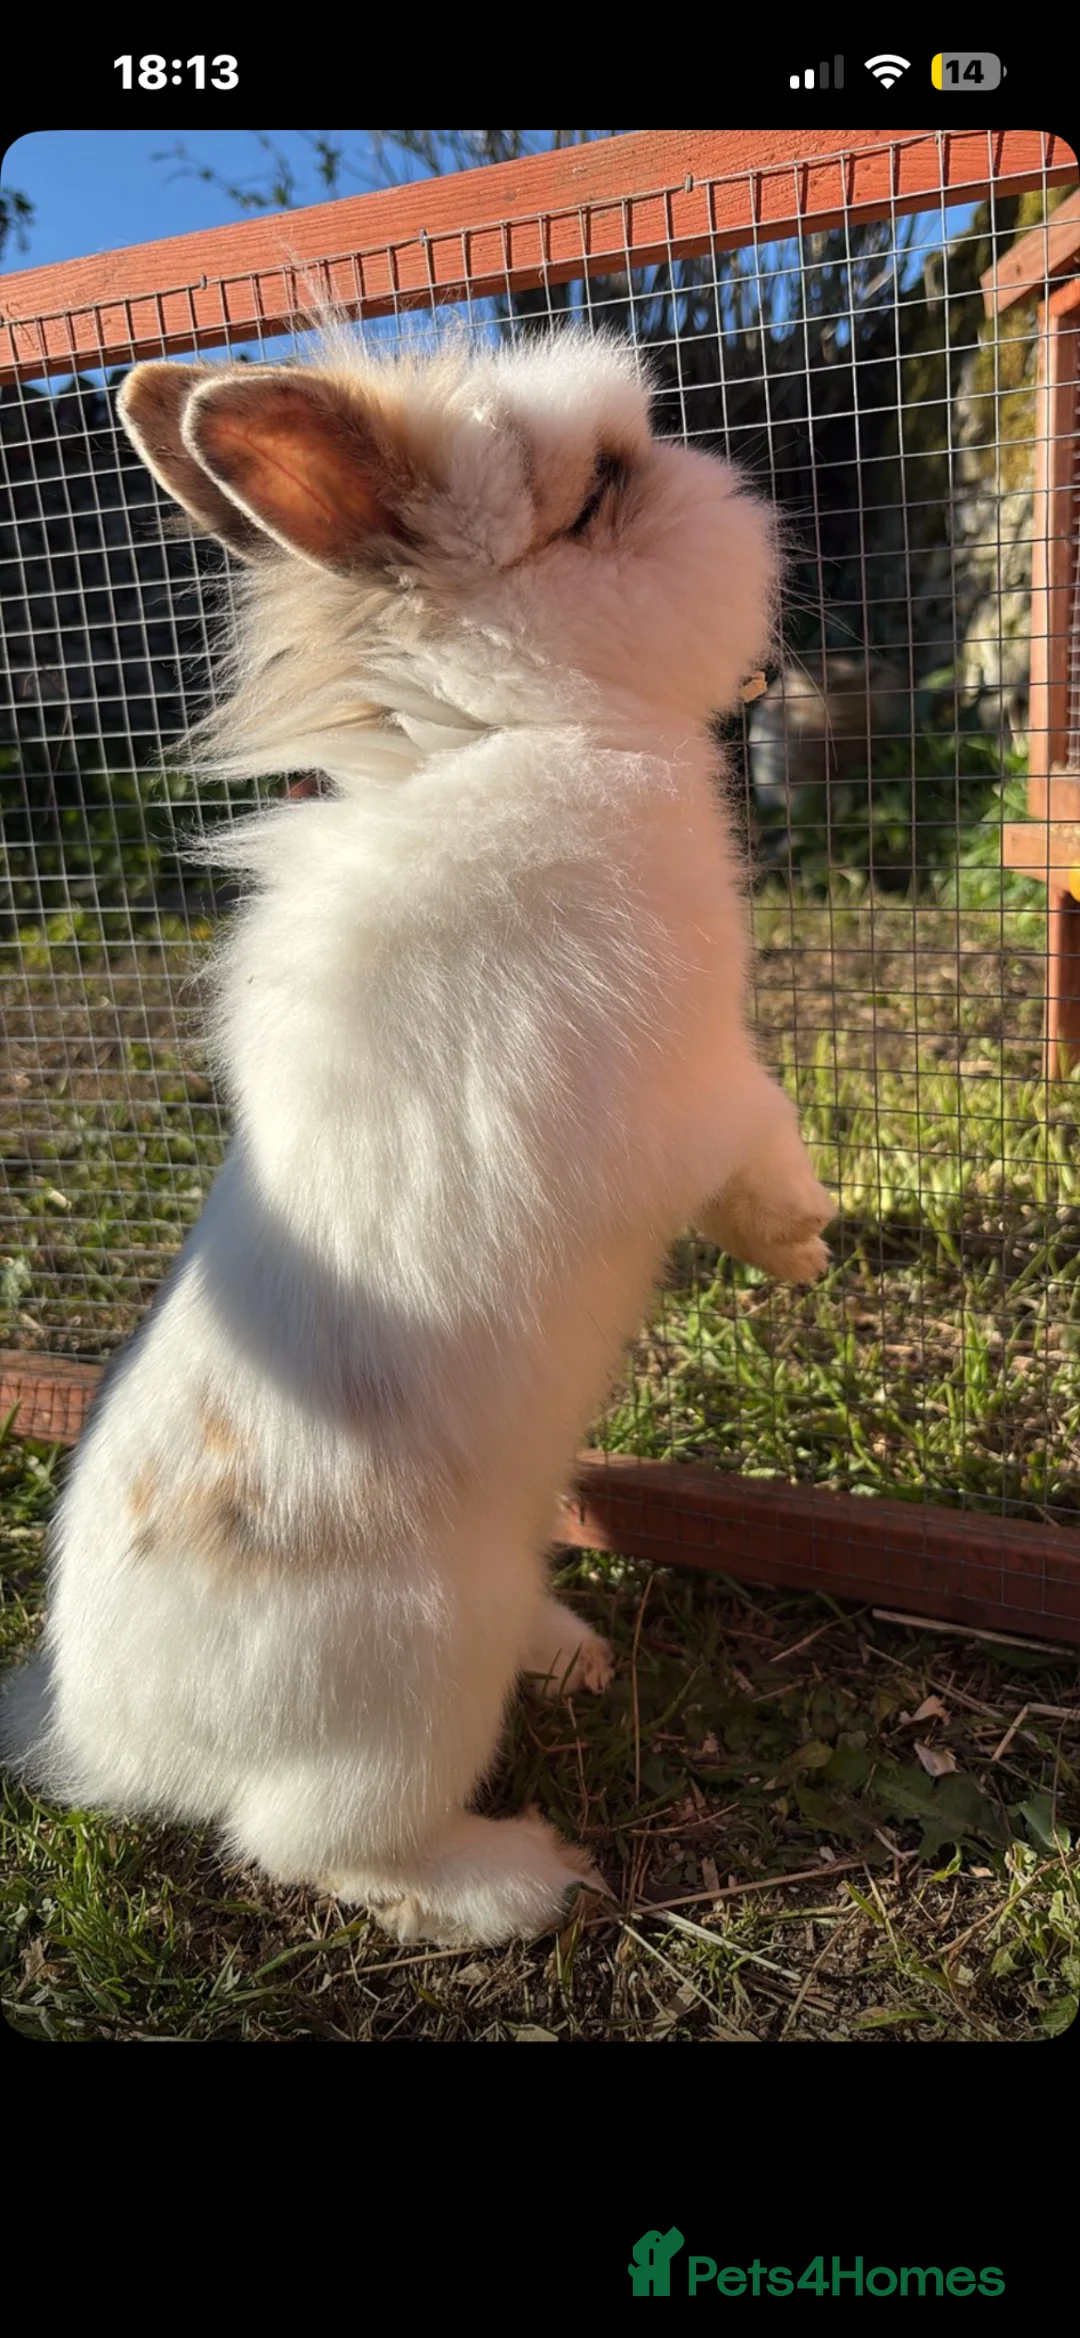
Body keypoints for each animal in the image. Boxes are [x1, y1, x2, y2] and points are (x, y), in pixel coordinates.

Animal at [0, 331, 834, 1948]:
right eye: (599, 493)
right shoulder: (690, 1084)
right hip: (406, 1700)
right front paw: (805, 1241)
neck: (503, 732)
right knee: (318, 1849)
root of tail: (108, 1739)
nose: (749, 492)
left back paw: (572, 1652)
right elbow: (751, 1141)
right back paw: (518, 1878)